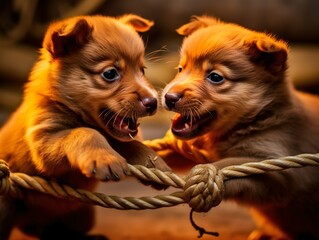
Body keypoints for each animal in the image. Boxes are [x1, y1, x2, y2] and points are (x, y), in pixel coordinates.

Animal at [0, 14, 172, 238]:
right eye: (110, 74)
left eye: (142, 70)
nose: (153, 102)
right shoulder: (43, 140)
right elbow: (85, 133)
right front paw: (105, 158)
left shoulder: (114, 136)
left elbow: (129, 143)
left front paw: (155, 164)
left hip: (83, 217)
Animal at [147, 15, 319, 239]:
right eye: (180, 69)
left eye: (215, 77)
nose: (169, 97)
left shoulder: (278, 172)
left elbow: (228, 165)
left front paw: (204, 177)